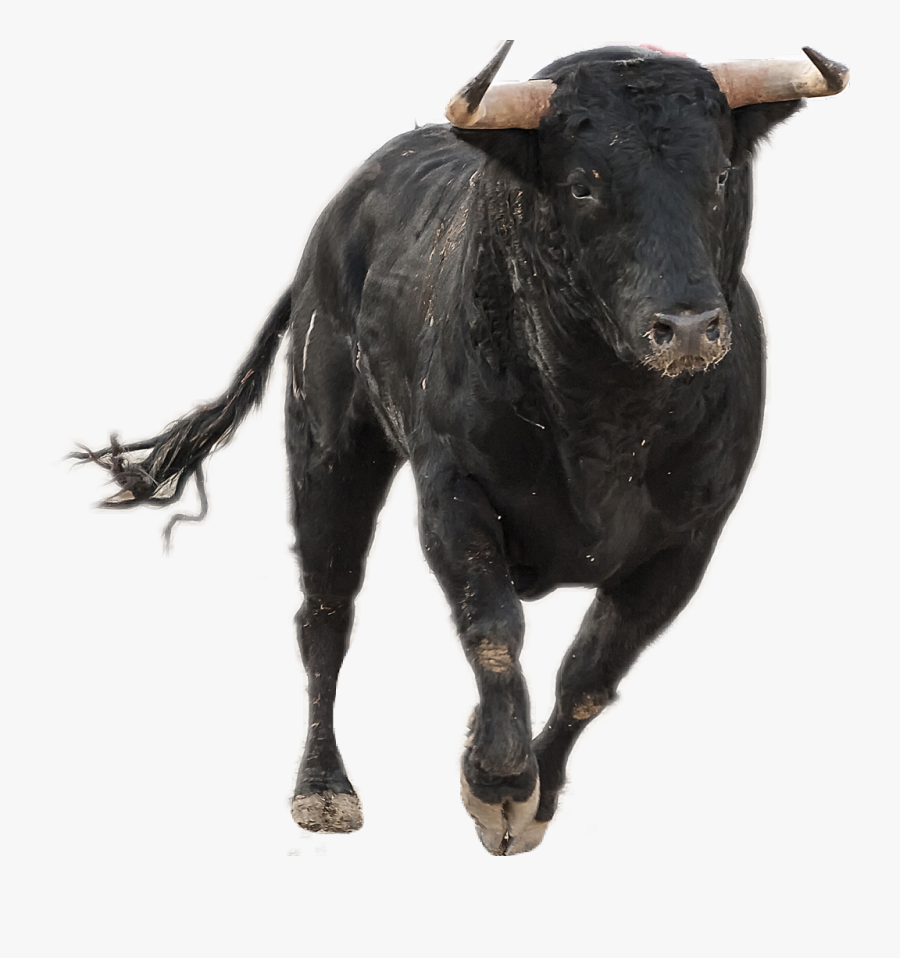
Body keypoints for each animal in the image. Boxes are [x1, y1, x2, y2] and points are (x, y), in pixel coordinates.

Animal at [73, 42, 848, 855]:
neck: (606, 418)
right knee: (325, 615)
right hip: (327, 453)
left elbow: (592, 671)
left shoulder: (688, 541)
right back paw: (323, 788)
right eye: (583, 184)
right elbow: (495, 629)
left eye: (721, 176)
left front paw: (533, 796)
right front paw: (498, 786)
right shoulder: (452, 491)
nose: (690, 327)